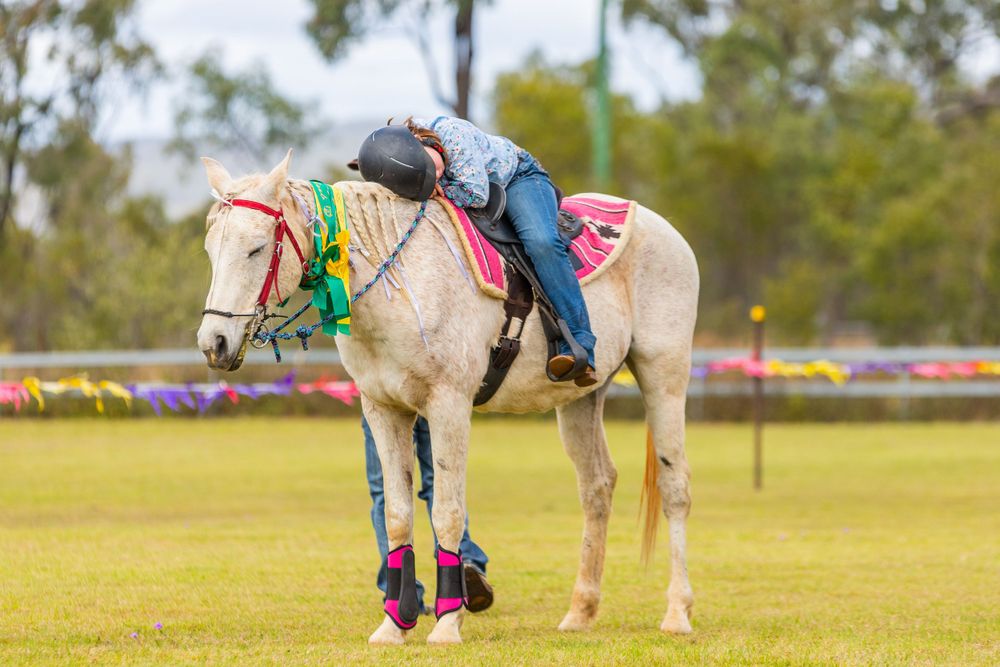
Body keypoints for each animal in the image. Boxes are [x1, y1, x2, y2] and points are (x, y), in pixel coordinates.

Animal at [196, 150, 699, 645]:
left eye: (257, 248)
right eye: (211, 249)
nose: (213, 342)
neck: (398, 281)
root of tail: (662, 227)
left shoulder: (449, 405)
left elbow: (448, 512)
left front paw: (446, 622)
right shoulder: (383, 409)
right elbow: (398, 514)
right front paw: (393, 625)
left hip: (665, 375)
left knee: (674, 487)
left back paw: (677, 613)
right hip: (581, 398)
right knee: (597, 487)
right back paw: (580, 612)